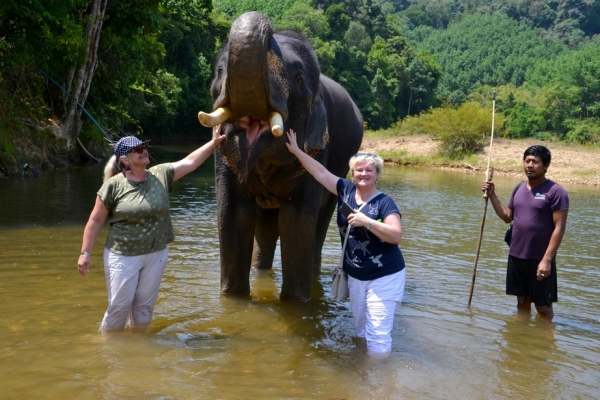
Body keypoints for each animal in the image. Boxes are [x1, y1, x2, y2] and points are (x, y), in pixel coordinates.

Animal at [199, 10, 364, 302]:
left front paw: (295, 304)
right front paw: (232, 299)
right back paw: (260, 271)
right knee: (265, 227)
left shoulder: (317, 152)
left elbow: (296, 222)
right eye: (219, 71)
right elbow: (233, 214)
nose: (270, 28)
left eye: (298, 78)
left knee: (319, 222)